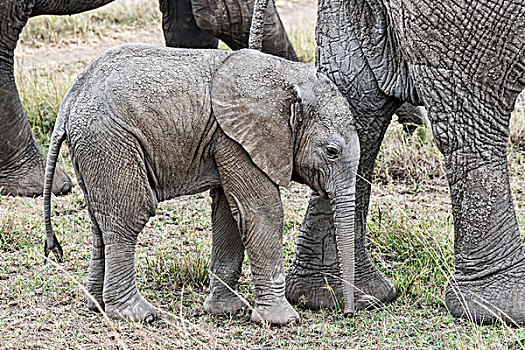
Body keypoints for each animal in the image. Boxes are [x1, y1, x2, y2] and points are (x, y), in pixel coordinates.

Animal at [44, 43, 360, 326]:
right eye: (331, 151)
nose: (348, 313)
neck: (288, 76)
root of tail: (71, 98)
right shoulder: (235, 139)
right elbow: (260, 212)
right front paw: (283, 321)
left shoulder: (226, 140)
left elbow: (230, 214)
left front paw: (226, 311)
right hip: (109, 140)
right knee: (128, 217)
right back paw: (137, 315)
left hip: (92, 145)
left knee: (100, 223)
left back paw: (96, 305)